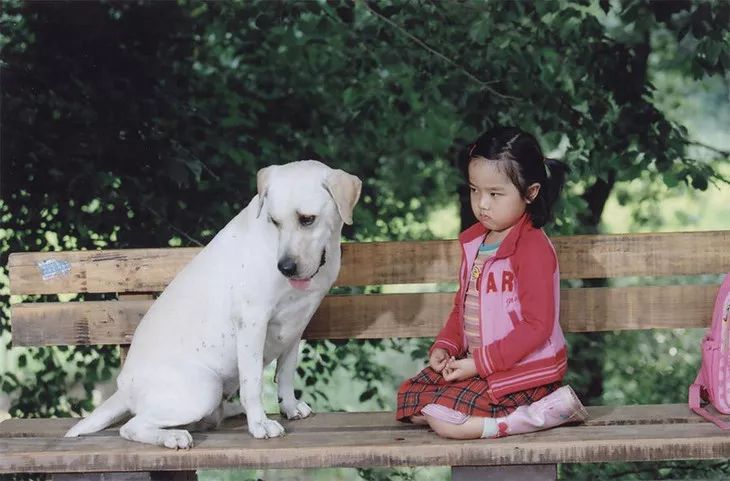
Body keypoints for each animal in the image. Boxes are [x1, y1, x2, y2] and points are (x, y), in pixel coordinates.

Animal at [64, 160, 360, 446]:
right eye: (274, 221)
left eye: (307, 220)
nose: (285, 267)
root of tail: (122, 389)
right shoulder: (253, 322)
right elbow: (252, 383)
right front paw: (260, 424)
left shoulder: (296, 326)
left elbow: (286, 374)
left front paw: (289, 407)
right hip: (205, 389)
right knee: (131, 427)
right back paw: (173, 437)